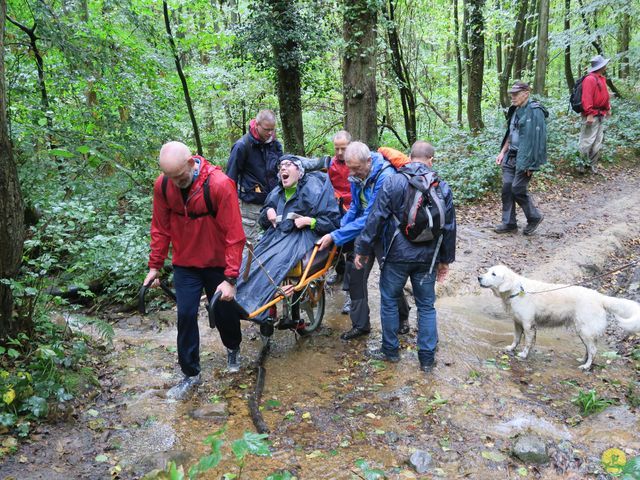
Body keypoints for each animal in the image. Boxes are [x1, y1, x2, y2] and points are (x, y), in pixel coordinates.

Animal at [478, 264, 640, 370]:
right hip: (582, 331)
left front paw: (523, 354)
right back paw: (582, 360)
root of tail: (600, 297)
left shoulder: (528, 324)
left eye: (493, 274)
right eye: (487, 271)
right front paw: (511, 348)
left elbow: (527, 342)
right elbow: (516, 338)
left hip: (585, 330)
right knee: (588, 349)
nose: (479, 277)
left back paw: (586, 366)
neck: (516, 291)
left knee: (593, 350)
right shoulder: (517, 322)